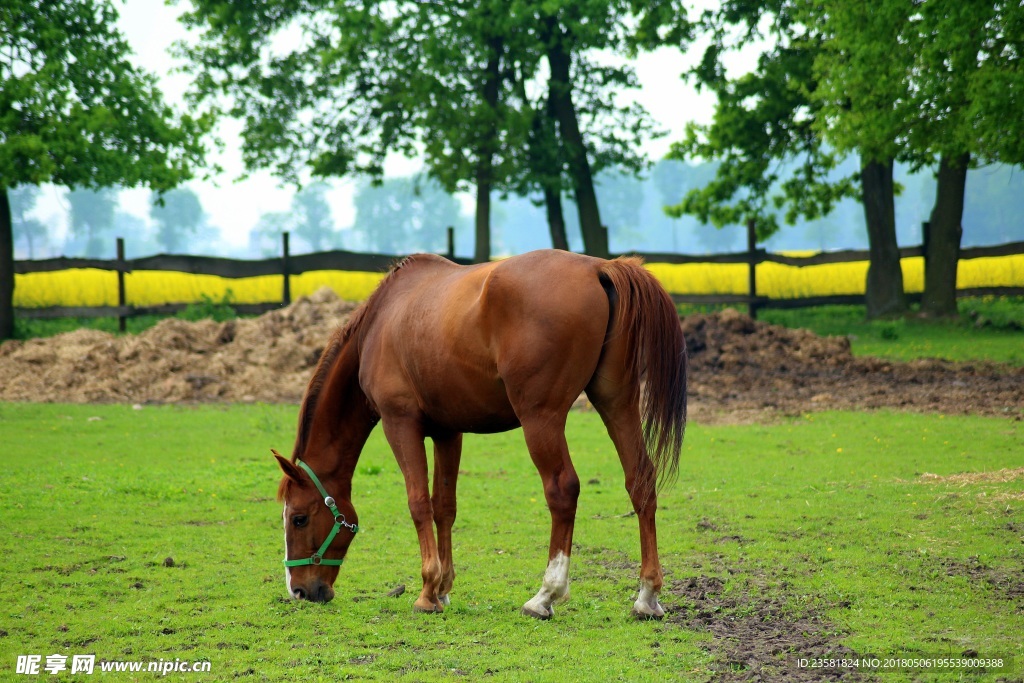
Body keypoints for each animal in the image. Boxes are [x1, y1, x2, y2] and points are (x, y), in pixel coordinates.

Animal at [276, 248, 684, 618]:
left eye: (298, 518)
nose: (299, 590)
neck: (380, 324)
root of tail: (599, 267)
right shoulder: (447, 432)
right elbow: (444, 506)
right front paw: (442, 589)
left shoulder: (400, 423)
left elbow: (418, 503)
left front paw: (426, 592)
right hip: (616, 403)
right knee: (640, 481)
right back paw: (647, 597)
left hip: (542, 418)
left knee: (563, 489)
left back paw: (545, 595)